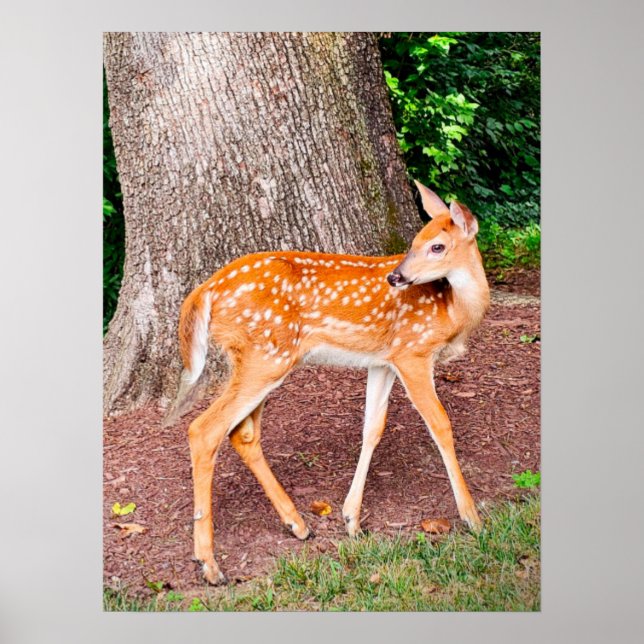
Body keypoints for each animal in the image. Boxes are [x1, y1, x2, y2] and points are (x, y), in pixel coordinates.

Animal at [164, 181, 490, 585]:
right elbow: (441, 425)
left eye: (437, 246)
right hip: (265, 357)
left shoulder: (383, 362)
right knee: (204, 429)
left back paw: (298, 525)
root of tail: (204, 290)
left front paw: (351, 520)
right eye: (416, 241)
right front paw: (472, 518)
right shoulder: (412, 352)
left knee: (242, 433)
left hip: (260, 359)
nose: (395, 277)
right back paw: (209, 564)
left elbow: (372, 429)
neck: (453, 310)